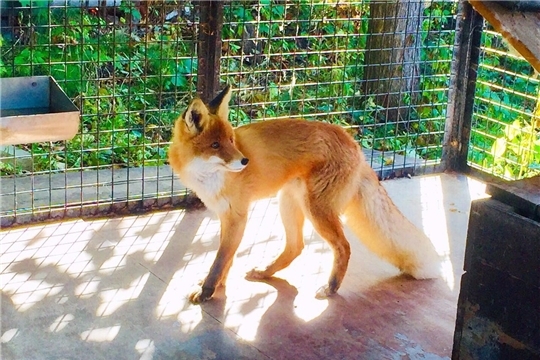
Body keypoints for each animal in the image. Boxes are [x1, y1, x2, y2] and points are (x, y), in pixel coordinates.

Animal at [170, 87, 442, 304]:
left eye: (230, 140)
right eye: (216, 145)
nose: (245, 161)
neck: (211, 178)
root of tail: (353, 143)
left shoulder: (238, 216)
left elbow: (219, 261)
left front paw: (207, 292)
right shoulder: (226, 218)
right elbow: (225, 259)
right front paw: (219, 287)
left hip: (316, 210)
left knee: (343, 247)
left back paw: (331, 288)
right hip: (288, 202)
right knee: (296, 247)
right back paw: (266, 273)